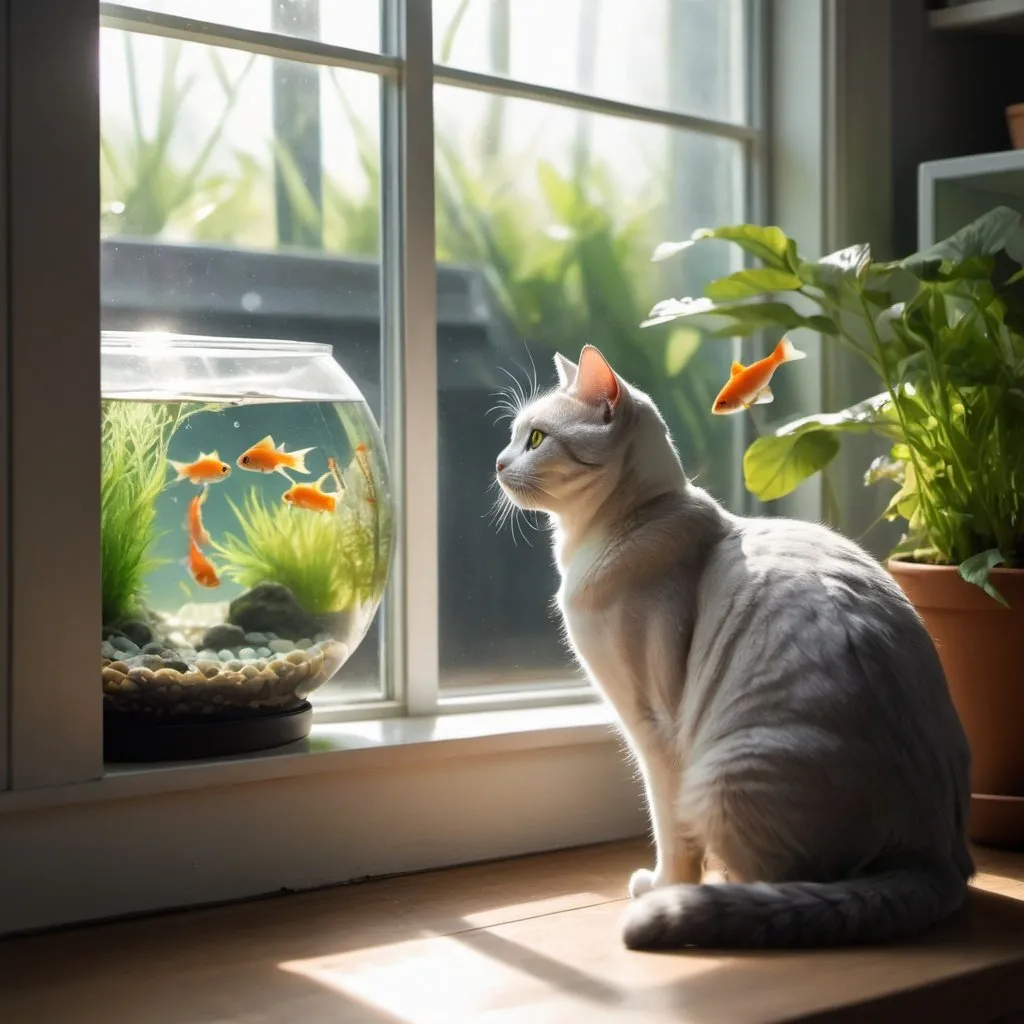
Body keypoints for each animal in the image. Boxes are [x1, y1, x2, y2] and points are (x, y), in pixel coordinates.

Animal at [495, 346, 974, 950]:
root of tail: (940, 860)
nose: (496, 463)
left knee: (781, 884)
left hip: (722, 773)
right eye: (513, 435)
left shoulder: (654, 729)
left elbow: (668, 829)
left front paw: (661, 887)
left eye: (535, 439)